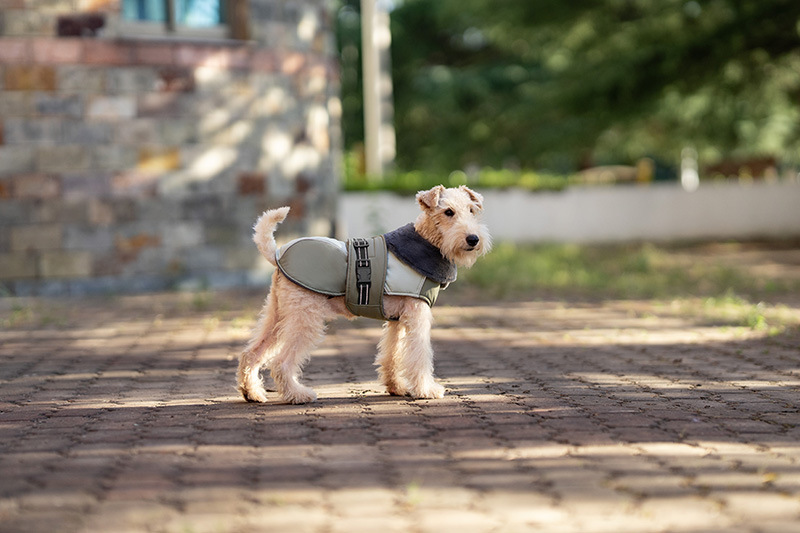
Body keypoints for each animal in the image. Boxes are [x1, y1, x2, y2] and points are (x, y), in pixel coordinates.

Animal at [236, 185, 491, 404]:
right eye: (448, 212)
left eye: (472, 210)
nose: (473, 239)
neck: (426, 242)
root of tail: (277, 254)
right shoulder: (417, 314)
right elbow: (419, 355)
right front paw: (426, 390)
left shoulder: (396, 321)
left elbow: (391, 355)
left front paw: (396, 387)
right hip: (304, 319)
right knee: (281, 362)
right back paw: (298, 394)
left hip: (278, 314)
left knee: (251, 353)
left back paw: (253, 393)